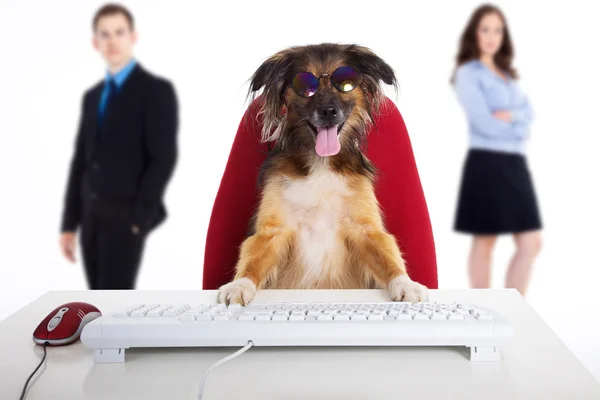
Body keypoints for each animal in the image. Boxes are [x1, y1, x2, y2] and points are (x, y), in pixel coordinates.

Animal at [218, 43, 428, 304]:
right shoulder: (273, 231)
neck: (321, 162)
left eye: (346, 84)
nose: (328, 111)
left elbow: (388, 256)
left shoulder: (365, 229)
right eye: (304, 87)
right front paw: (238, 286)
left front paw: (406, 284)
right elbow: (252, 259)